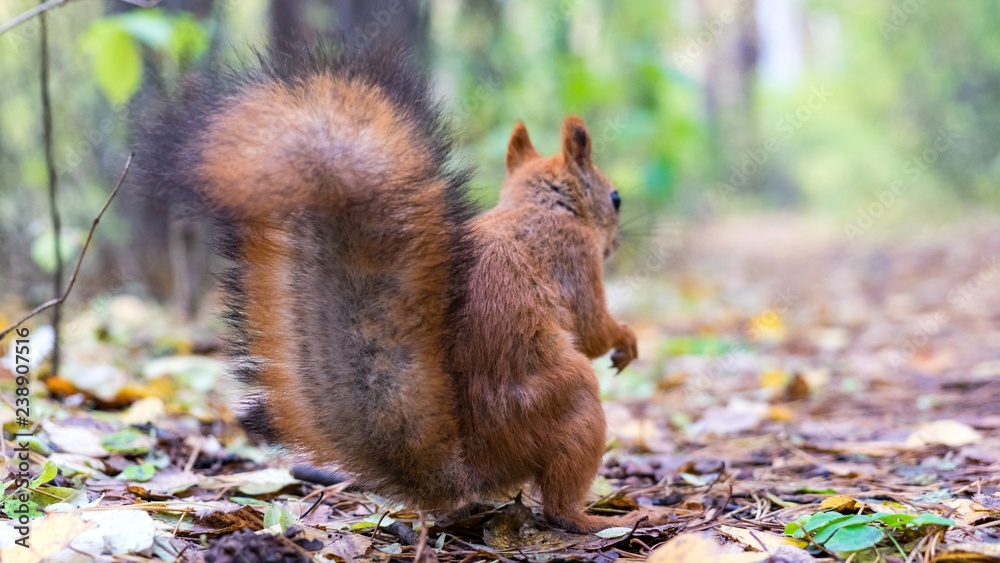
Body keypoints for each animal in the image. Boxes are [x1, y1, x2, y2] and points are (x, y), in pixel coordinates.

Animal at [139, 44, 639, 533]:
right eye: (615, 198)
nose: (618, 241)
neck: (540, 206)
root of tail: (471, 470)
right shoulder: (574, 256)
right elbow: (593, 328)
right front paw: (626, 340)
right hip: (573, 402)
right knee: (559, 504)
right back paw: (609, 517)